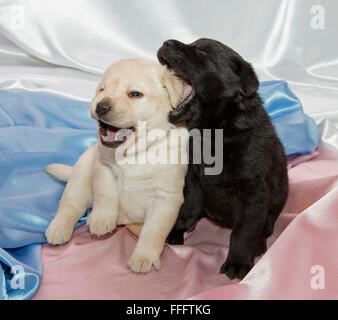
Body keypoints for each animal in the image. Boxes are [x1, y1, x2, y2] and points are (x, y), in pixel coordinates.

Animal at [44, 58, 189, 274]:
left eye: (135, 94)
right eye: (102, 89)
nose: (100, 106)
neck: (135, 152)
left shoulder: (166, 198)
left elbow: (153, 230)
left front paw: (144, 256)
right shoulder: (102, 165)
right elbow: (106, 194)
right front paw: (102, 219)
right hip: (80, 176)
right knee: (70, 206)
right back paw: (58, 229)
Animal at [158, 38, 288, 280]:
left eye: (201, 52)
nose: (166, 42)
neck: (215, 130)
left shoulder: (252, 192)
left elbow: (243, 232)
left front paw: (238, 263)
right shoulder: (193, 176)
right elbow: (188, 206)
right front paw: (176, 228)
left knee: (266, 227)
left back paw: (258, 245)